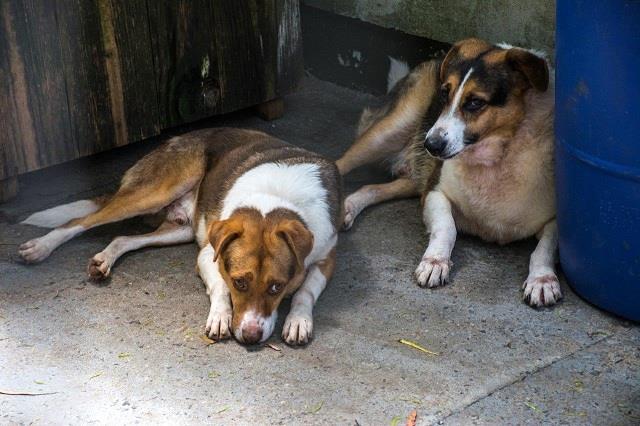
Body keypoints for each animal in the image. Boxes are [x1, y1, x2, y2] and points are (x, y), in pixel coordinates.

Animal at [18, 128, 340, 344]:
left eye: (277, 287)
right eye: (239, 282)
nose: (250, 337)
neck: (275, 197)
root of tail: (178, 137)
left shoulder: (326, 257)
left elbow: (306, 291)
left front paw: (298, 321)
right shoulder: (208, 254)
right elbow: (219, 288)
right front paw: (220, 317)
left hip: (181, 228)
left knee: (123, 238)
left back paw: (103, 261)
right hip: (155, 191)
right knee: (80, 221)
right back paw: (40, 247)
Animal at [336, 39, 560, 306]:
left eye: (475, 102)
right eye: (445, 93)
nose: (430, 144)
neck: (495, 157)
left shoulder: (558, 219)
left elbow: (545, 248)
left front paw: (542, 279)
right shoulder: (434, 193)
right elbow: (447, 226)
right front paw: (435, 261)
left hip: (414, 177)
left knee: (371, 187)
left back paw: (348, 206)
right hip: (389, 130)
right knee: (336, 165)